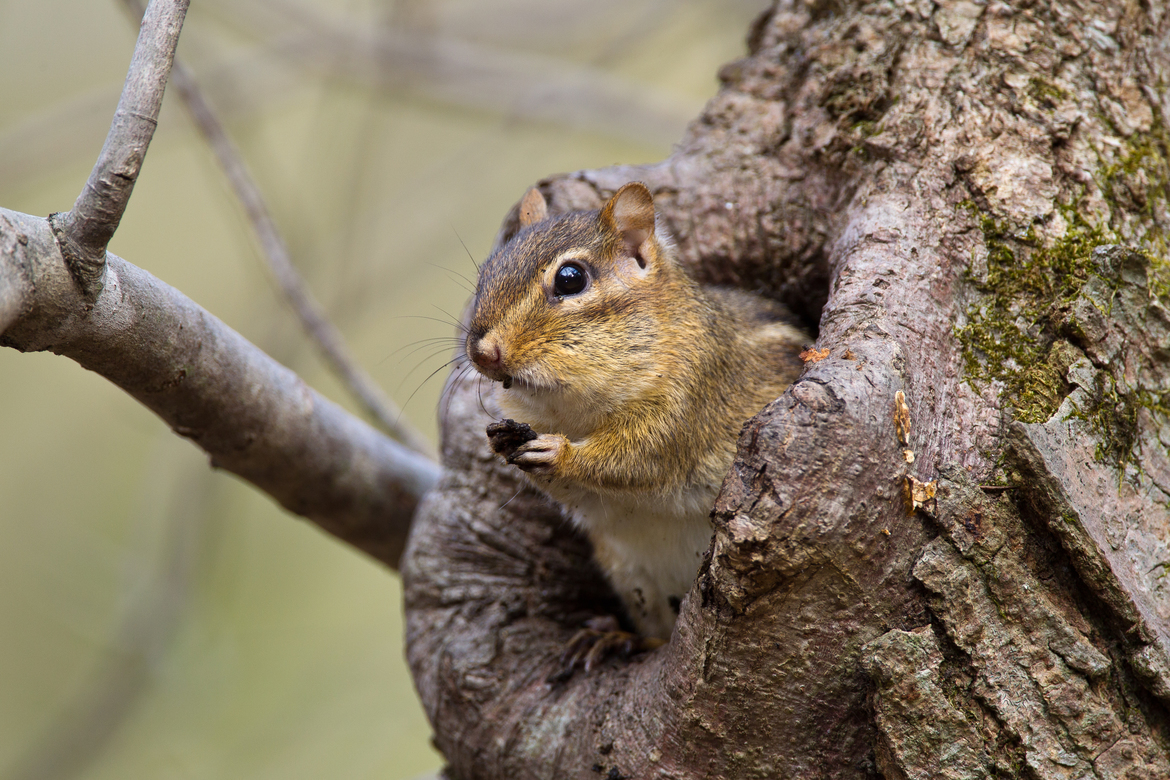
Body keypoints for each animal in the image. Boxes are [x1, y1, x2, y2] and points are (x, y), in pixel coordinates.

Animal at [465, 181, 807, 653]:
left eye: (570, 278)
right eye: (486, 273)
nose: (482, 353)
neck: (573, 408)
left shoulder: (687, 402)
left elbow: (638, 460)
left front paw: (559, 453)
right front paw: (503, 443)